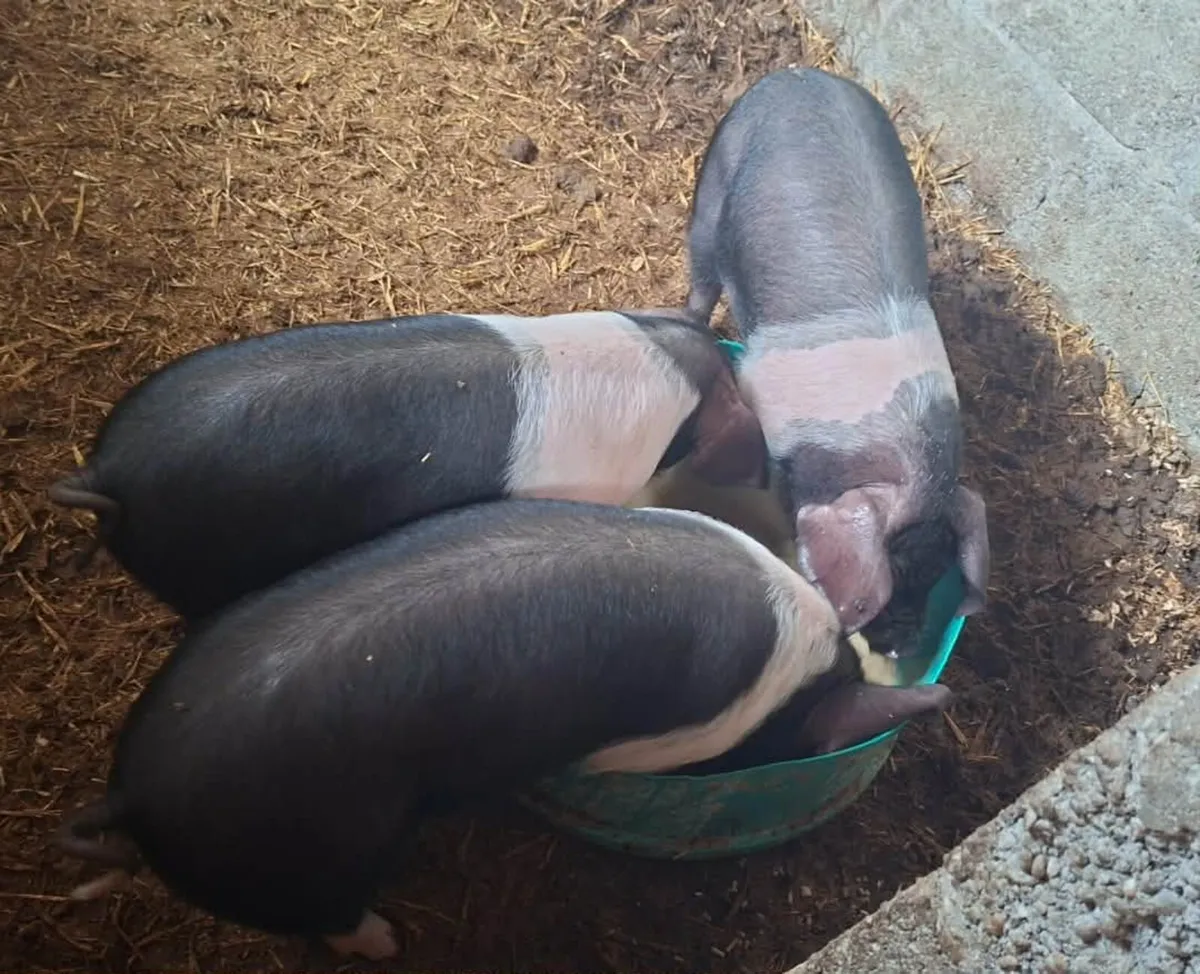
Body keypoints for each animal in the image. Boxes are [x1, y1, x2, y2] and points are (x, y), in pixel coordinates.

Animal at [57, 498, 951, 959]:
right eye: (802, 737)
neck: (803, 665)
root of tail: (133, 793)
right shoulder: (656, 741)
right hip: (311, 851)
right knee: (330, 918)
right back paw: (391, 941)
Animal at [684, 66, 990, 656]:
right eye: (894, 569)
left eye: (937, 573)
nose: (901, 645)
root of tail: (800, 73)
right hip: (713, 183)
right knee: (702, 276)